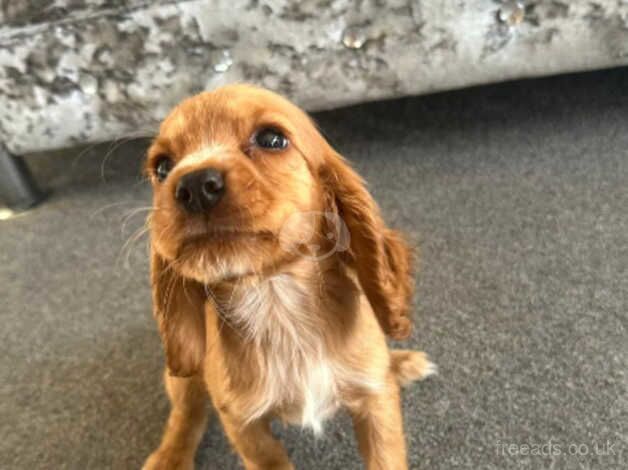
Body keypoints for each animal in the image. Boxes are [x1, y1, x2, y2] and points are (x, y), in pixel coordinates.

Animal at [144, 85, 434, 470]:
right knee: (187, 413)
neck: (275, 298)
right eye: (162, 167)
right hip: (184, 377)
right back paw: (170, 456)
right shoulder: (243, 423)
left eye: (271, 138)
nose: (193, 185)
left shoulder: (377, 405)